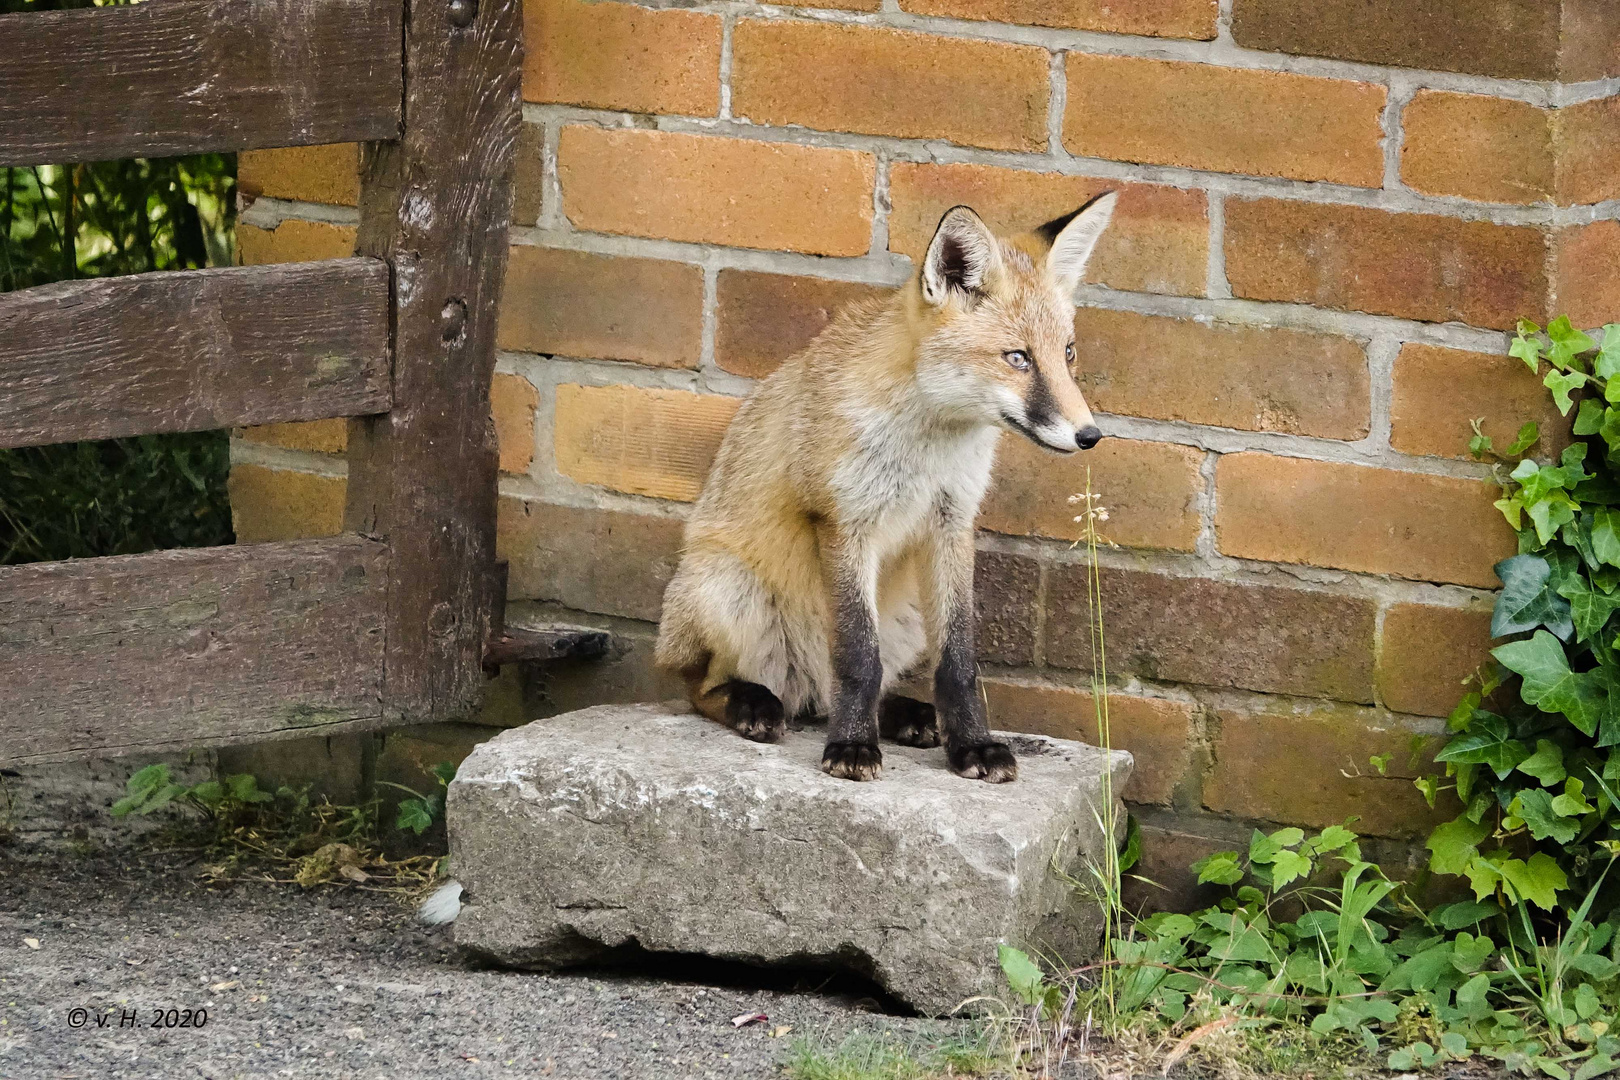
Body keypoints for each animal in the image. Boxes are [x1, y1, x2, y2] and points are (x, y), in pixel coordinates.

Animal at [651, 194, 1121, 786]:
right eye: (1018, 358)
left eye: (1069, 353)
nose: (1090, 436)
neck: (929, 450)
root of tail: (806, 692)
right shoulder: (844, 521)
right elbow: (858, 657)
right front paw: (852, 746)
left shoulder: (951, 524)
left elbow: (959, 663)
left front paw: (973, 745)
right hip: (727, 589)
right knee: (701, 684)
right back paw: (753, 703)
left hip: (907, 615)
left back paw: (905, 717)